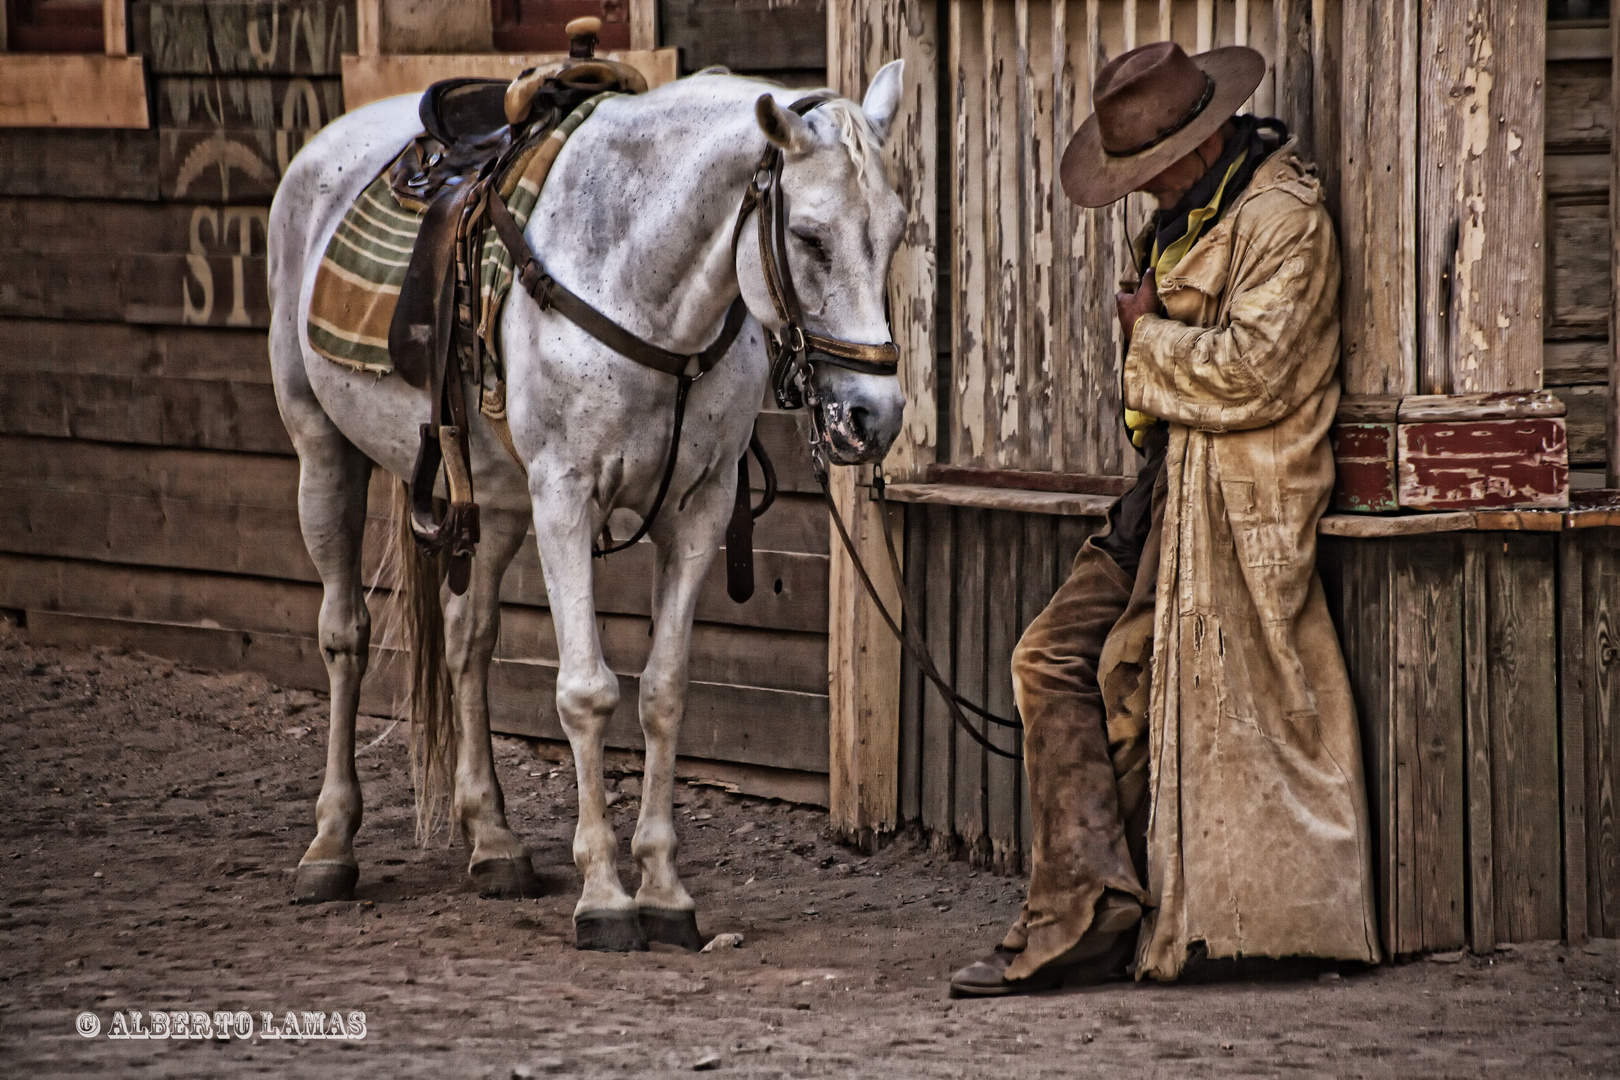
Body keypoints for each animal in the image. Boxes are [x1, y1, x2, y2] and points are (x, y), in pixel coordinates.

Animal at [265, 63, 913, 952]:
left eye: (897, 233)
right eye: (811, 238)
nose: (873, 416)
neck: (642, 289)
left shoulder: (700, 509)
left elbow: (665, 693)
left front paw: (665, 892)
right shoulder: (565, 498)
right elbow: (585, 691)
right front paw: (605, 894)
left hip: (496, 503)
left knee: (468, 643)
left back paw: (494, 842)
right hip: (323, 453)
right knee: (344, 638)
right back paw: (330, 847)